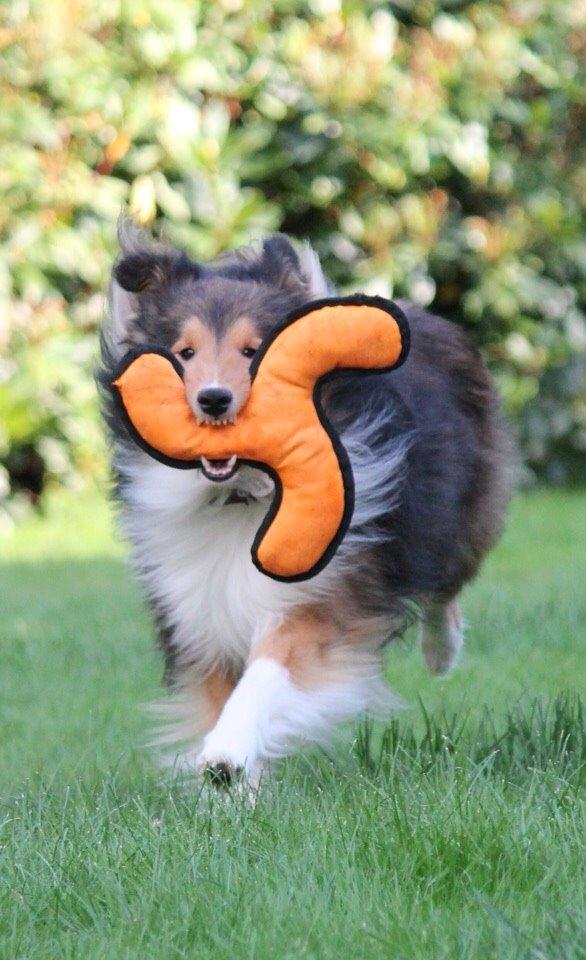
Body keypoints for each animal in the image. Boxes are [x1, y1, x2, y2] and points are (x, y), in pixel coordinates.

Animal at [98, 223, 508, 788]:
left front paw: (225, 751)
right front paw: (232, 790)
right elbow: (221, 697)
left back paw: (441, 653)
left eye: (254, 350)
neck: (244, 497)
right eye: (184, 352)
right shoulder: (202, 613)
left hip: (453, 515)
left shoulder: (319, 593)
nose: (213, 400)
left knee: (443, 586)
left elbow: (269, 669)